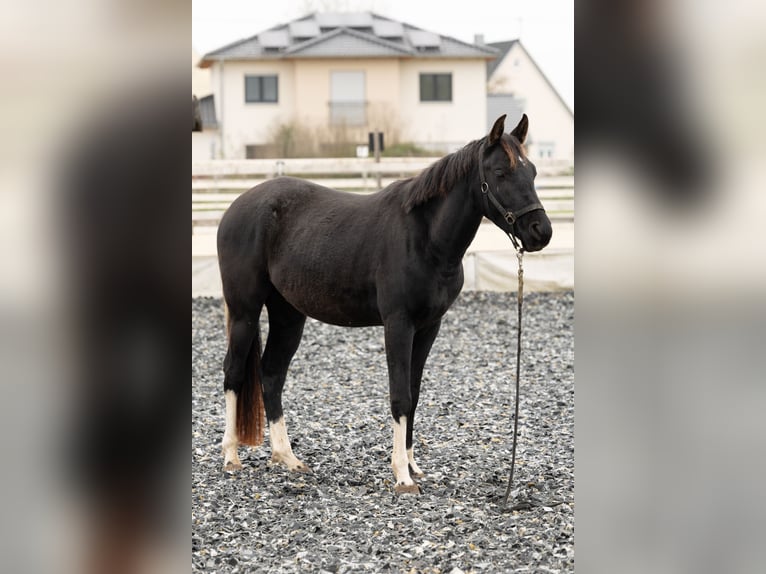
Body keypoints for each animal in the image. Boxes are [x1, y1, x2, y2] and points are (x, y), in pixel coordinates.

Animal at [216, 113, 552, 496]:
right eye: (500, 173)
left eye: (532, 171)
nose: (541, 232)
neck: (425, 238)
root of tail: (237, 206)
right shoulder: (398, 325)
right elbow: (400, 396)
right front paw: (402, 476)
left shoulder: (428, 328)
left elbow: (414, 394)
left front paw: (414, 467)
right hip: (244, 311)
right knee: (234, 373)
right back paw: (231, 457)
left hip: (288, 315)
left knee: (271, 373)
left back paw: (287, 458)